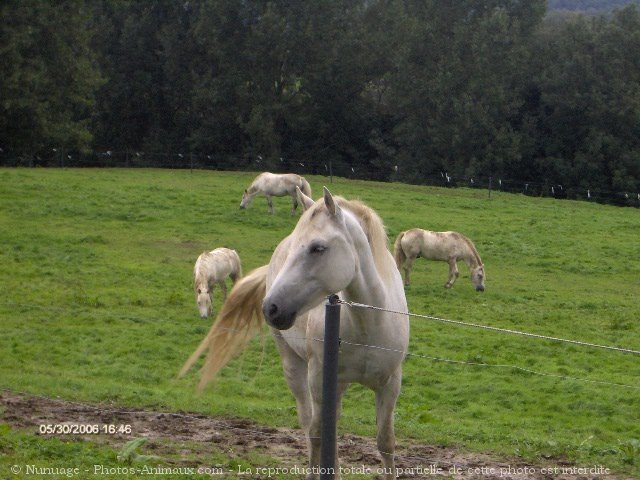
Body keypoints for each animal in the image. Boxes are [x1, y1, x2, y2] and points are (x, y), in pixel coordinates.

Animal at [181, 188, 410, 480]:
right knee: (309, 421)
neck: (368, 323)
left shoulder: (390, 385)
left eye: (318, 248)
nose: (270, 307)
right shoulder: (319, 378)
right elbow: (317, 433)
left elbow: (385, 442)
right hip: (295, 366)